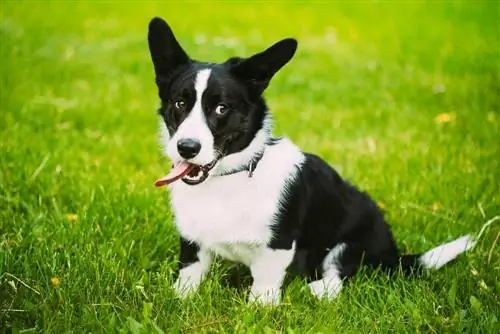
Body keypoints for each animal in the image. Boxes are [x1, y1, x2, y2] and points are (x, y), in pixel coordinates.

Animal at [146, 16, 474, 306]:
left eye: (221, 108)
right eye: (180, 103)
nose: (186, 148)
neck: (232, 176)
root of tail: (392, 253)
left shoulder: (279, 245)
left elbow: (264, 285)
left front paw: (259, 309)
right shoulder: (192, 240)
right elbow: (189, 274)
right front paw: (179, 299)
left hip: (350, 241)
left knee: (338, 276)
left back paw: (316, 290)